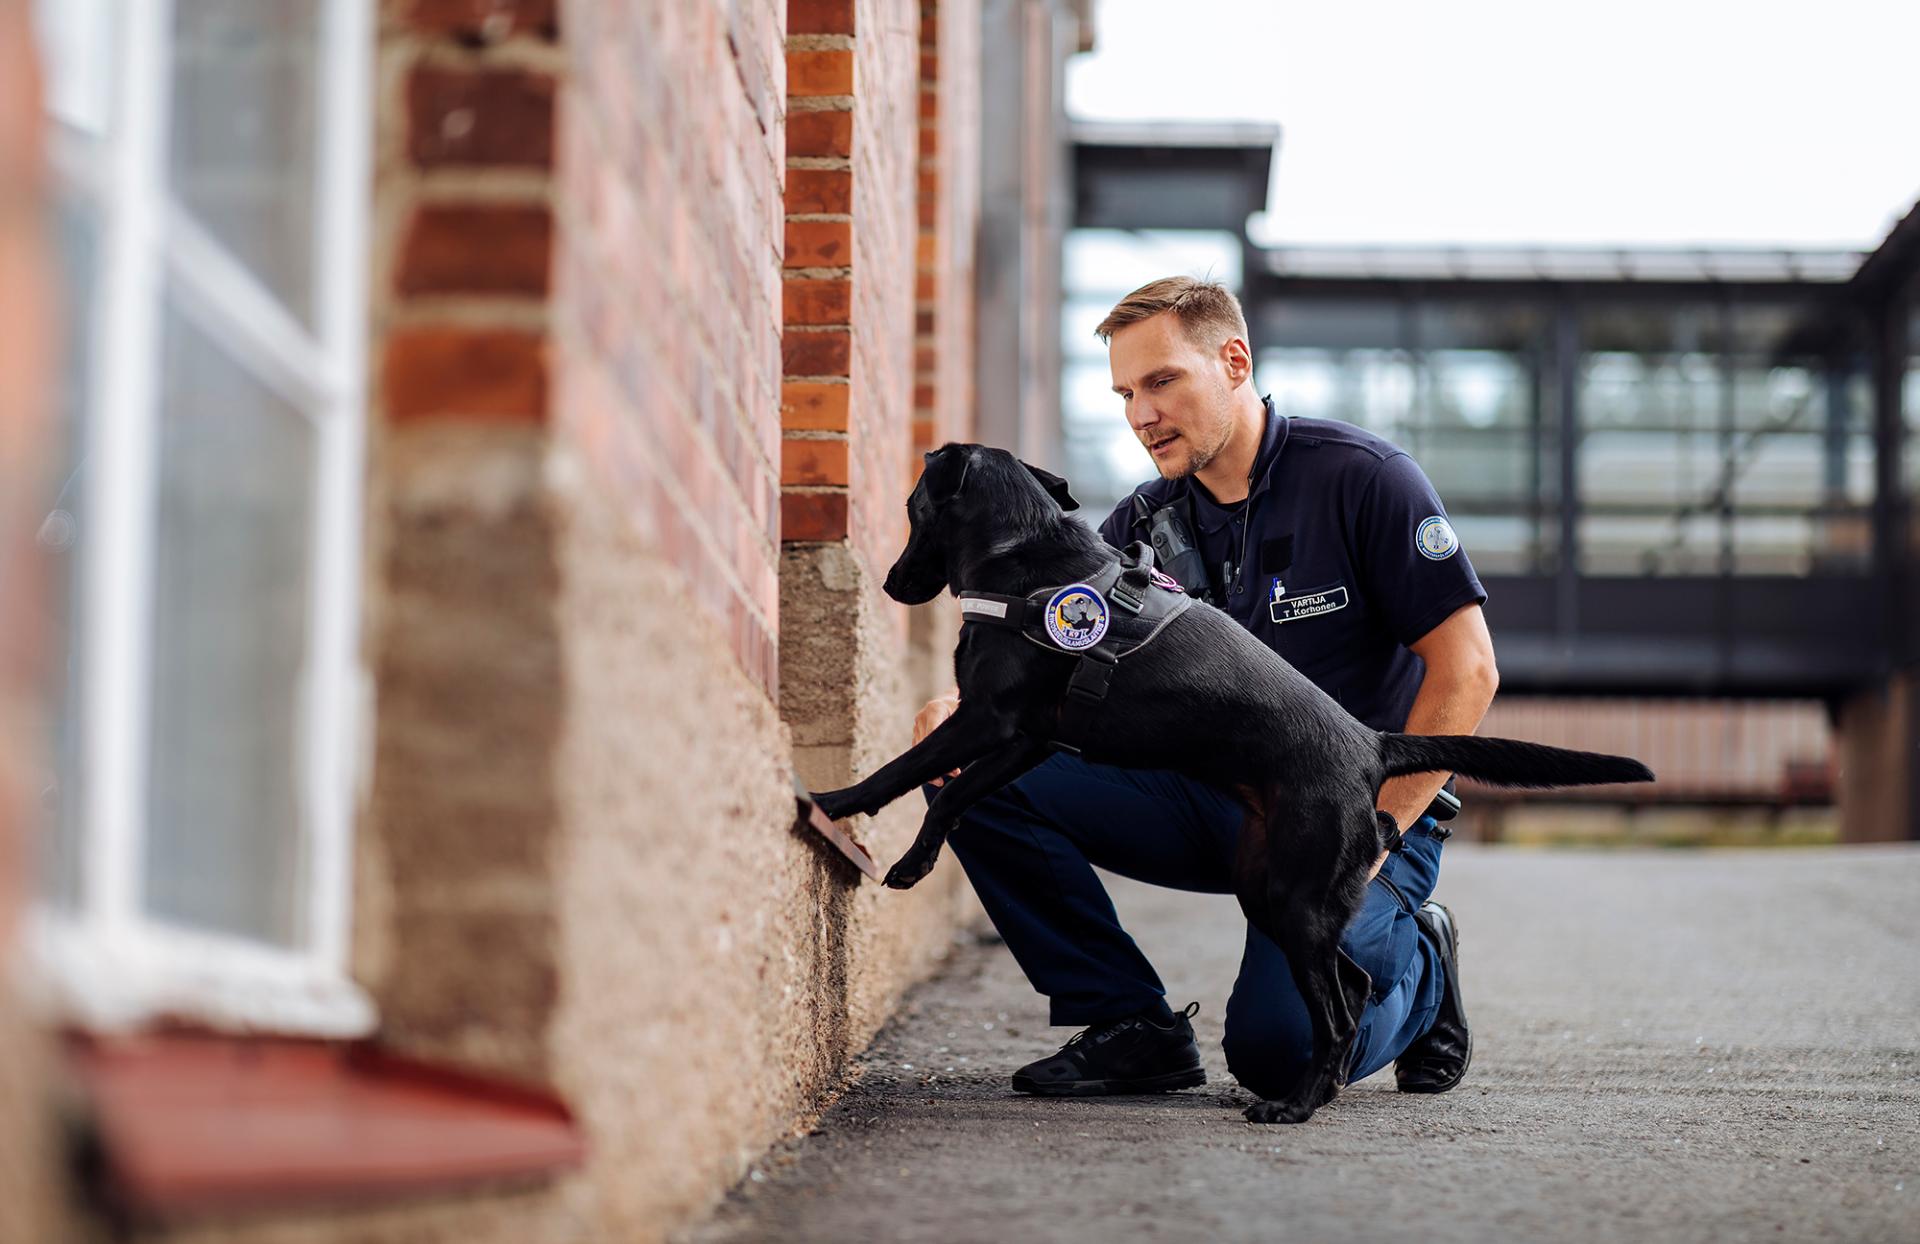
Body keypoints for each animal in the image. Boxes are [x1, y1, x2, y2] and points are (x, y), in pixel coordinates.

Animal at [810, 441, 1651, 1121]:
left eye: (913, 508)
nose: (889, 584)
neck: (1026, 551)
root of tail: (1371, 745)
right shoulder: (1027, 741)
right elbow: (955, 791)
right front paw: (902, 848)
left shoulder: (989, 723)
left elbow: (909, 774)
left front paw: (834, 806)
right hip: (1271, 889)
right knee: (1356, 985)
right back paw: (1326, 1084)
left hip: (1295, 897)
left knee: (1337, 1010)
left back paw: (1298, 1106)